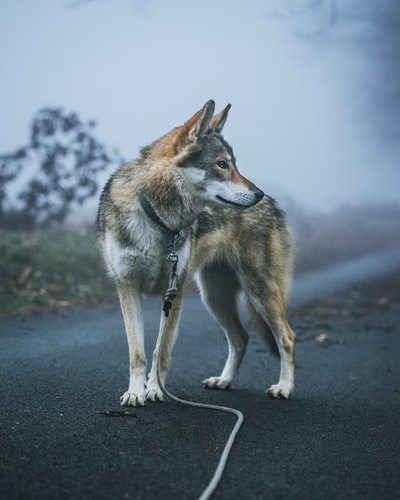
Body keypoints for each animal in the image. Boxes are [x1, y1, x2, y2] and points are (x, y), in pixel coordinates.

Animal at [97, 100, 296, 406]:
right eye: (222, 164)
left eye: (233, 164)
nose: (258, 194)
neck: (156, 218)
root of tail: (275, 206)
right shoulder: (128, 288)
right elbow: (138, 353)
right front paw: (135, 392)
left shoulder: (174, 292)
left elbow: (161, 350)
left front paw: (155, 389)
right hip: (214, 296)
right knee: (241, 338)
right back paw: (224, 381)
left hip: (258, 291)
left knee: (287, 337)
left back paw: (284, 387)